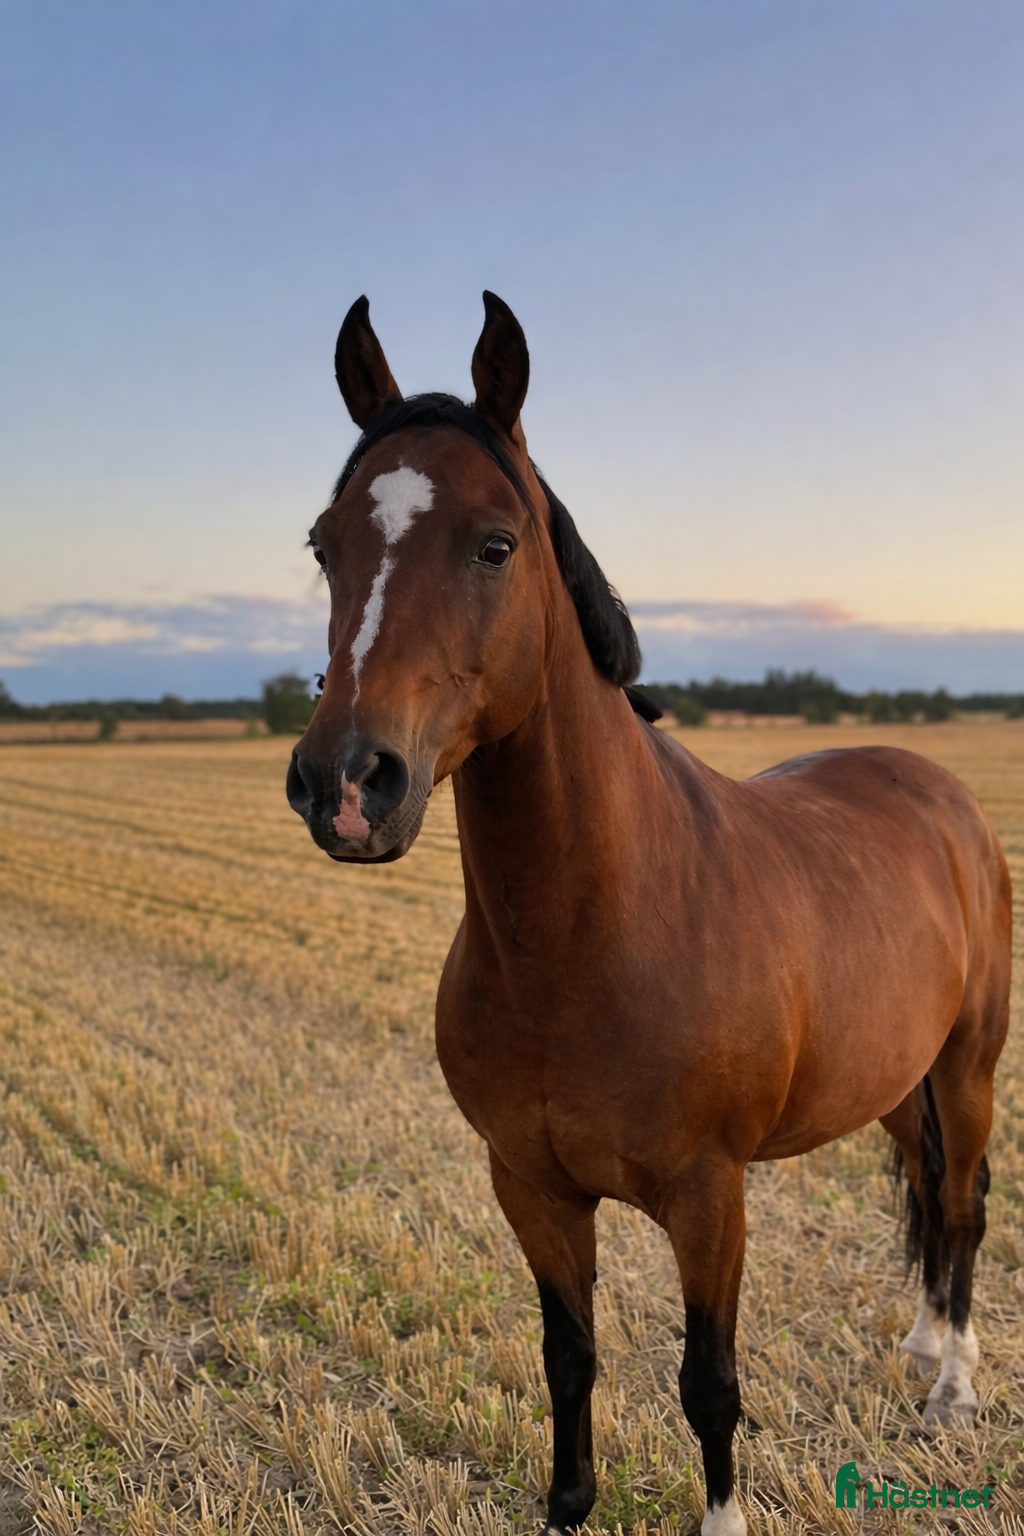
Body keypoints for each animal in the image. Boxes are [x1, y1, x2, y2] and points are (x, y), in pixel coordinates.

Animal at [286, 293, 1011, 1536]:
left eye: (495, 543)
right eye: (325, 544)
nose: (346, 784)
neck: (584, 938)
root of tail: (937, 789)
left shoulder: (709, 1198)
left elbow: (708, 1382)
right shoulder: (530, 1188)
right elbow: (568, 1359)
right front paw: (566, 1506)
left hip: (965, 1069)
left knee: (959, 1204)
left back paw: (951, 1388)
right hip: (893, 1077)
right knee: (924, 1192)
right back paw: (920, 1345)